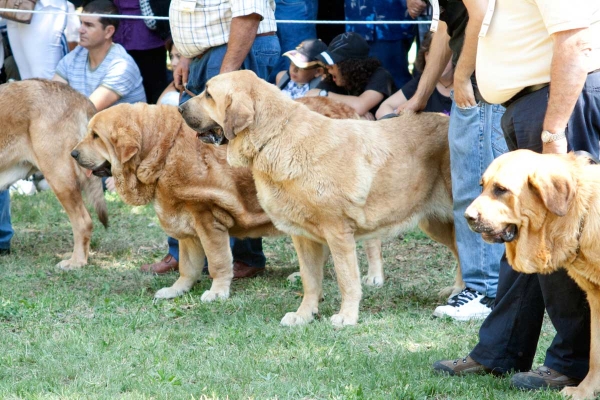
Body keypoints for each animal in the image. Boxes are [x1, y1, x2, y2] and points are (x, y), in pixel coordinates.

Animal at [178, 70, 460, 326]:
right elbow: (310, 280)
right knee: (460, 254)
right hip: (435, 223)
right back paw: (455, 291)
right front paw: (304, 315)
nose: (179, 108)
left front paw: (346, 317)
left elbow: (347, 280)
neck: (275, 136)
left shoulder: (339, 233)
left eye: (208, 94)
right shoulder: (304, 238)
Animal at [466, 150, 600, 400]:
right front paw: (585, 391)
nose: (467, 216)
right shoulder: (596, 300)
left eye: (501, 189)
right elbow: (595, 353)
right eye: (482, 186)